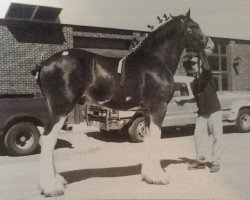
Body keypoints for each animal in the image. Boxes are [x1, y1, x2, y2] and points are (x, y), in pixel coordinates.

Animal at [34, 10, 215, 196]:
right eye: (193, 27)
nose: (211, 44)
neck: (156, 60)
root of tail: (44, 64)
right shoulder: (158, 109)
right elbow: (155, 139)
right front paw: (159, 177)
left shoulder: (147, 112)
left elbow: (148, 138)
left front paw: (149, 175)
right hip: (61, 109)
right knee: (48, 139)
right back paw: (51, 187)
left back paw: (57, 181)